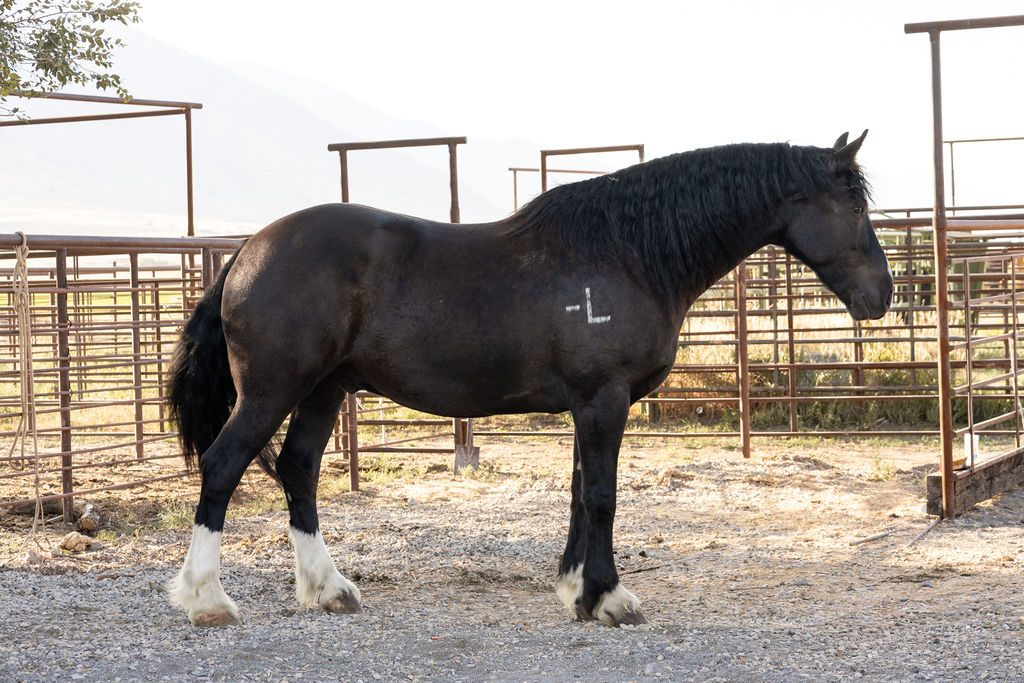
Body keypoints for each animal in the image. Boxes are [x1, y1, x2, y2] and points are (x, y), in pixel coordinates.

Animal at [165, 130, 892, 628]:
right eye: (854, 210)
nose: (882, 296)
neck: (629, 252)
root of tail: (249, 250)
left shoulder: (588, 405)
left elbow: (576, 493)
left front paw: (578, 590)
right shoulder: (603, 400)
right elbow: (601, 495)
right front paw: (611, 597)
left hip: (324, 389)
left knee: (298, 468)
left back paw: (328, 588)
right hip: (272, 391)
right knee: (224, 466)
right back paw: (206, 598)